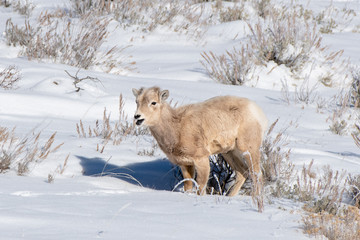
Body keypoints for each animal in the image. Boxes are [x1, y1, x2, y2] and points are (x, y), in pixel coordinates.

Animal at [132, 86, 268, 212]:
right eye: (137, 101)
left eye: (153, 102)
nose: (137, 117)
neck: (177, 128)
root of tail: (257, 111)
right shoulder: (185, 164)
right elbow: (188, 185)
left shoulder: (201, 160)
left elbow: (201, 186)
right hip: (229, 152)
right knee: (242, 172)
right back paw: (229, 197)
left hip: (249, 149)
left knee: (256, 174)